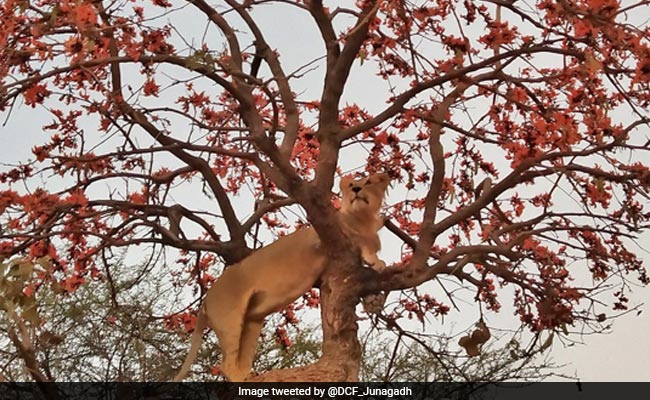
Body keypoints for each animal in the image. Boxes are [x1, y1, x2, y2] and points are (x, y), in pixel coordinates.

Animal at [173, 173, 390, 382]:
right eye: (352, 183)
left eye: (368, 182)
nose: (356, 189)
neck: (363, 218)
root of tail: (207, 298)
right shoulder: (319, 239)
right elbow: (359, 240)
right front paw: (376, 260)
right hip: (229, 317)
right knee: (226, 363)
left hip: (251, 322)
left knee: (242, 358)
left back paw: (252, 375)